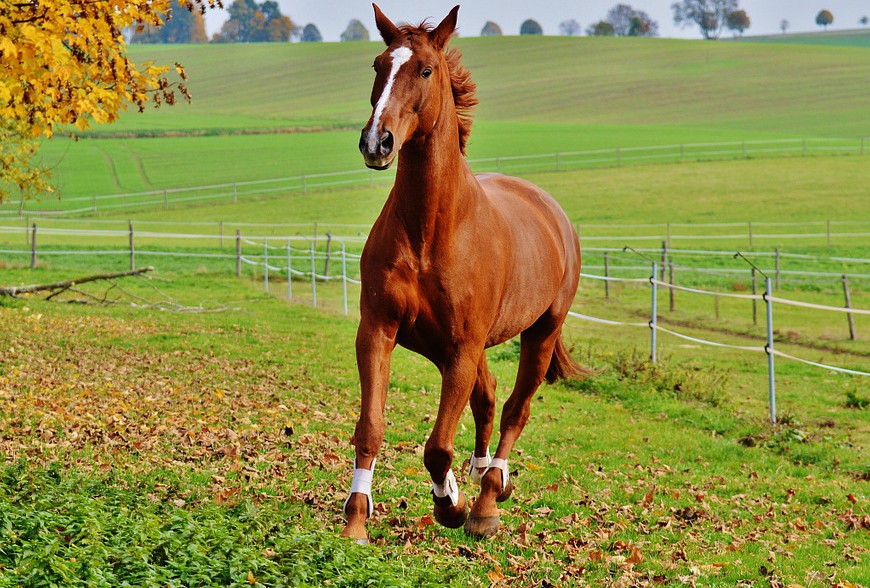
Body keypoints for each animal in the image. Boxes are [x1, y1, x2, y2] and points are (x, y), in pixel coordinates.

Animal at [342, 3, 584, 544]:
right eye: (377, 64)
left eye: (426, 70)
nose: (376, 142)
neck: (430, 231)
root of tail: (553, 213)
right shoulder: (380, 331)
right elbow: (371, 428)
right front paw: (355, 521)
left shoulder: (462, 347)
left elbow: (437, 446)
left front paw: (450, 505)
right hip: (446, 346)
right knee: (488, 398)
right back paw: (479, 476)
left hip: (538, 334)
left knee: (515, 409)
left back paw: (488, 498)